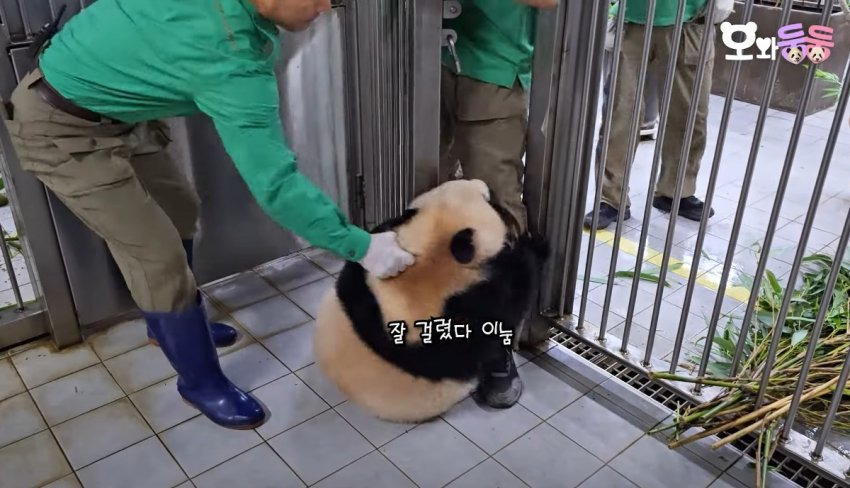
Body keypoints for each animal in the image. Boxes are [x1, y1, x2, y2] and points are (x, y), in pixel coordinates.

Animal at [313, 179, 550, 423]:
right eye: (488, 200)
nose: (483, 184)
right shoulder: (462, 314)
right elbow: (507, 305)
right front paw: (532, 247)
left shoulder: (362, 279)